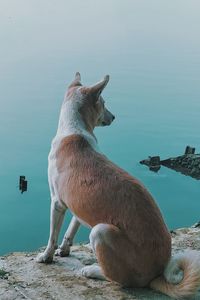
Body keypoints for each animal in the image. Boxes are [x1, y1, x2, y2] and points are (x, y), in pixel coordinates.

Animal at [37, 73, 200, 300]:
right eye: (104, 103)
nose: (114, 116)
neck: (74, 129)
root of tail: (156, 275)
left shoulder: (57, 203)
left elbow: (52, 235)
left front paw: (47, 256)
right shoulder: (77, 204)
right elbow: (72, 227)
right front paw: (65, 248)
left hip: (101, 232)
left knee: (119, 279)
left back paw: (92, 270)